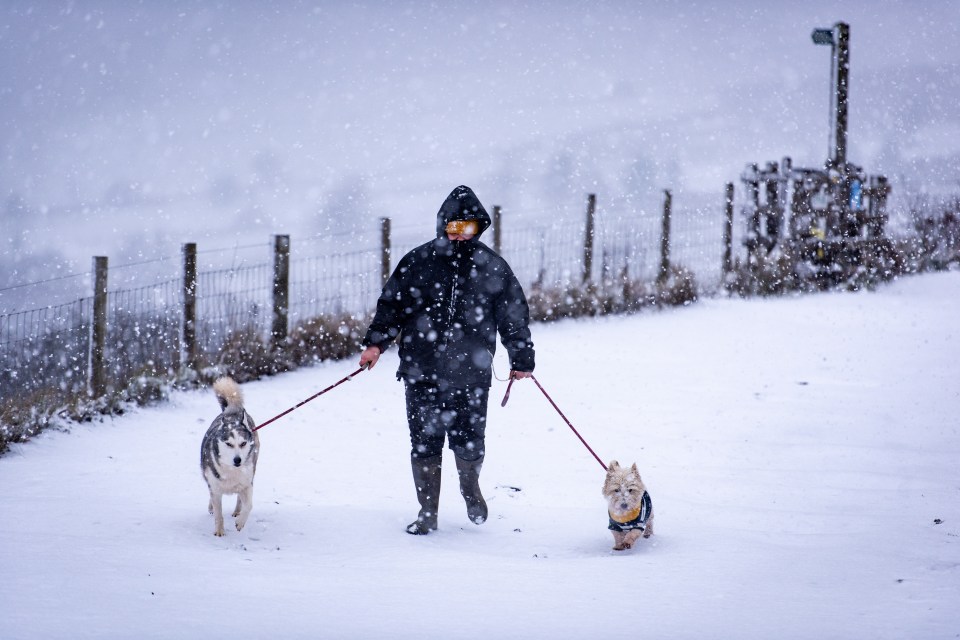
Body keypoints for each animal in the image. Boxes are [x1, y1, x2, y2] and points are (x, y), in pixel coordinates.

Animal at [200, 378, 258, 536]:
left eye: (243, 443)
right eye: (229, 444)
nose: (237, 460)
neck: (232, 471)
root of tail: (232, 411)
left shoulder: (247, 483)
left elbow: (249, 505)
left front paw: (240, 522)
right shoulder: (215, 487)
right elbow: (218, 512)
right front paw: (219, 532)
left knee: (240, 498)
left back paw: (237, 511)